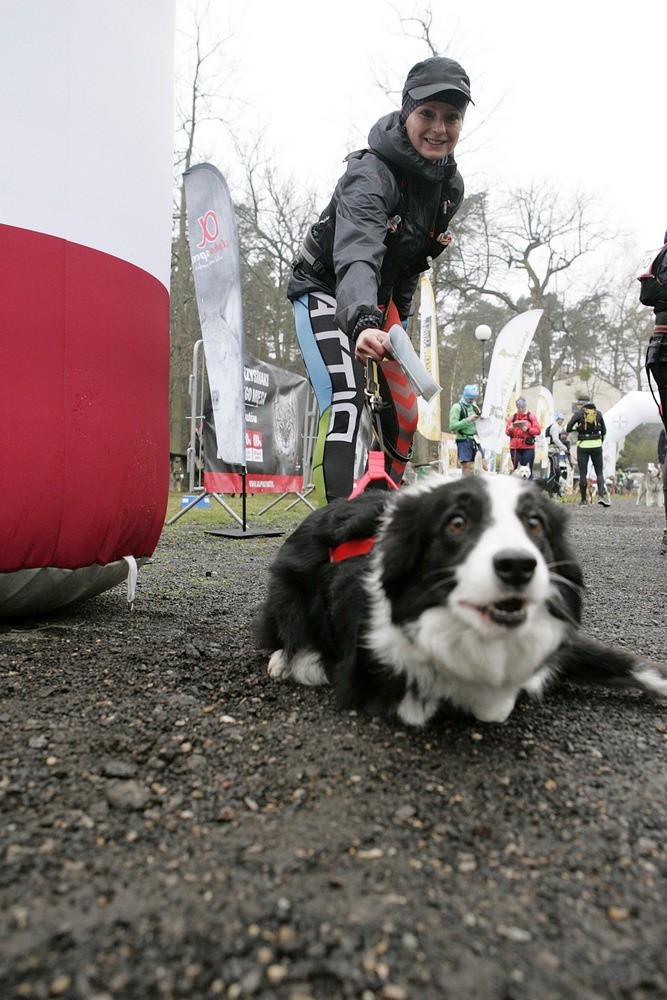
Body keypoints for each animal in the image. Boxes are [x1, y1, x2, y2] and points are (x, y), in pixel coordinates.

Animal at [254, 472, 667, 724]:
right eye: (456, 523)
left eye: (534, 523)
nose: (517, 566)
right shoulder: (366, 672)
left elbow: (634, 665)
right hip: (287, 592)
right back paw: (284, 660)